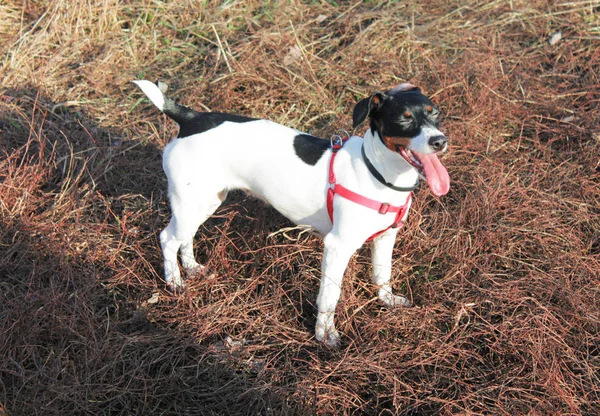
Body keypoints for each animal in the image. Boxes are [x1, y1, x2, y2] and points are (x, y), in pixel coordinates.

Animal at [132, 79, 450, 346]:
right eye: (404, 118)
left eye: (434, 113)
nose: (439, 141)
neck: (379, 172)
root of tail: (191, 118)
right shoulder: (337, 247)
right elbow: (330, 296)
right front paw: (325, 335)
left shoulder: (386, 238)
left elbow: (382, 275)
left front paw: (387, 301)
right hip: (192, 201)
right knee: (167, 238)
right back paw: (175, 282)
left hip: (204, 201)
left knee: (185, 235)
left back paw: (192, 268)